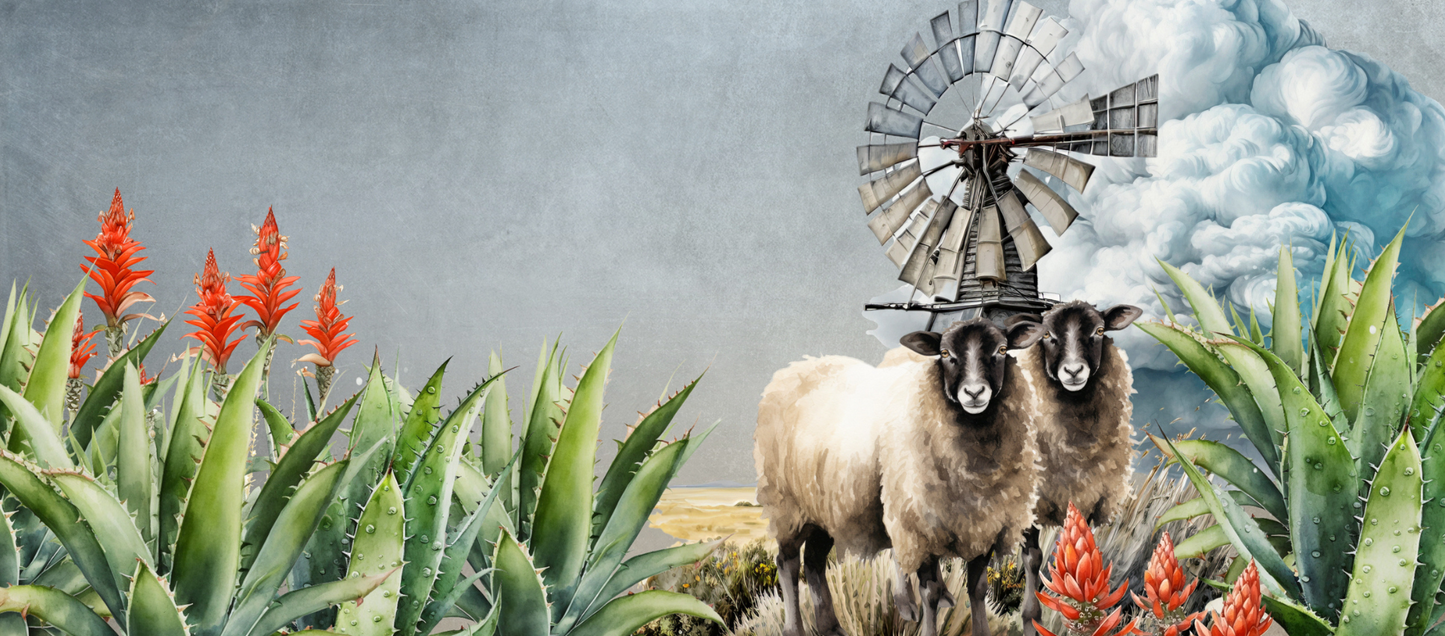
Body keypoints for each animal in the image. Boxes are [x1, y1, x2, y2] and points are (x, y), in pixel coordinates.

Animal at [754, 317, 1045, 636]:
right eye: (945, 354)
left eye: (1002, 349)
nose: (974, 393)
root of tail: (791, 371)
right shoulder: (918, 525)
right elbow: (930, 593)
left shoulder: (987, 524)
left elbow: (978, 587)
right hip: (787, 504)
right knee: (788, 563)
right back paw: (795, 629)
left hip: (823, 507)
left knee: (814, 563)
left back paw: (831, 628)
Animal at [1007, 301, 1141, 636]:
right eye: (1047, 336)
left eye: (1100, 330)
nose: (1073, 371)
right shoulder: (1031, 503)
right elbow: (1033, 558)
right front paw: (1031, 619)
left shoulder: (1093, 498)